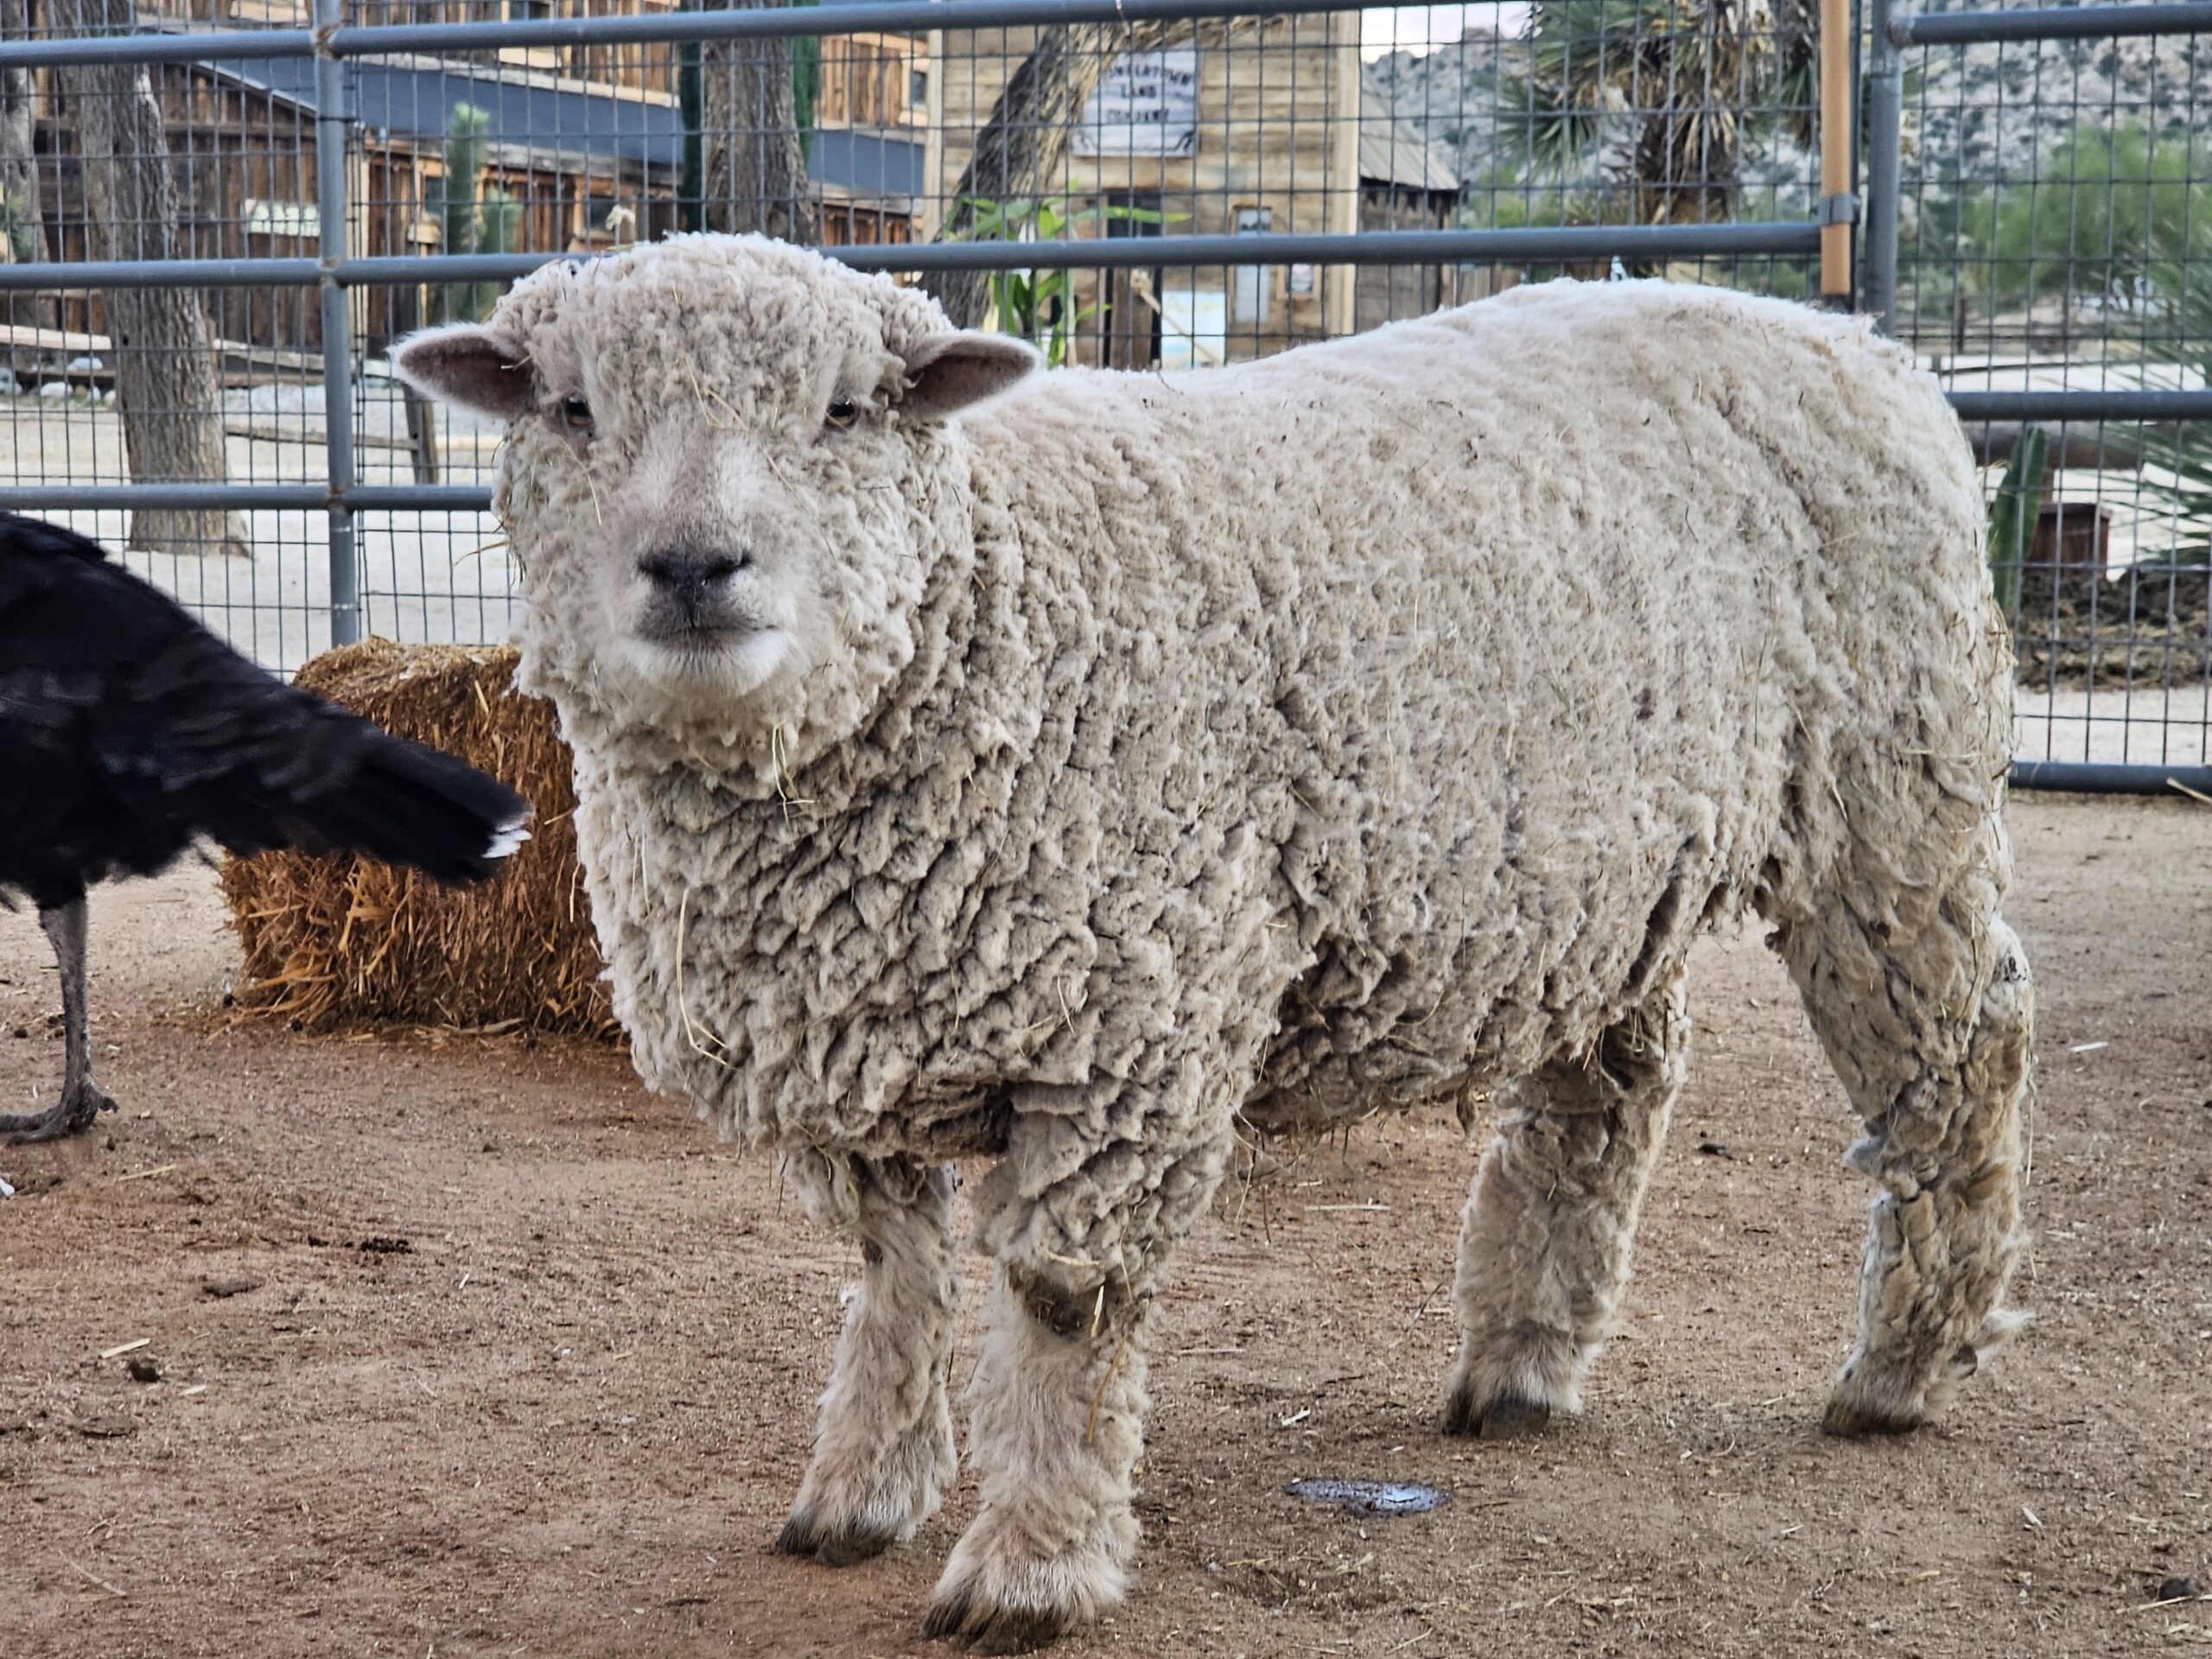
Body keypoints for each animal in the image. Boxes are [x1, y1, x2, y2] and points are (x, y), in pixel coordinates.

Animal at [396, 234, 2035, 1651]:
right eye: (570, 407)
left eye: (848, 410)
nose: (694, 565)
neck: (977, 602)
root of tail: (1860, 339)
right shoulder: (845, 1040)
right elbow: (894, 1274)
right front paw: (861, 1494)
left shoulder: (1131, 1033)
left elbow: (1062, 1308)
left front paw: (1033, 1564)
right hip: (1590, 882)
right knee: (1609, 1091)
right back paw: (1522, 1358)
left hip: (1894, 803)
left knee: (1968, 1054)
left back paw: (1902, 1365)